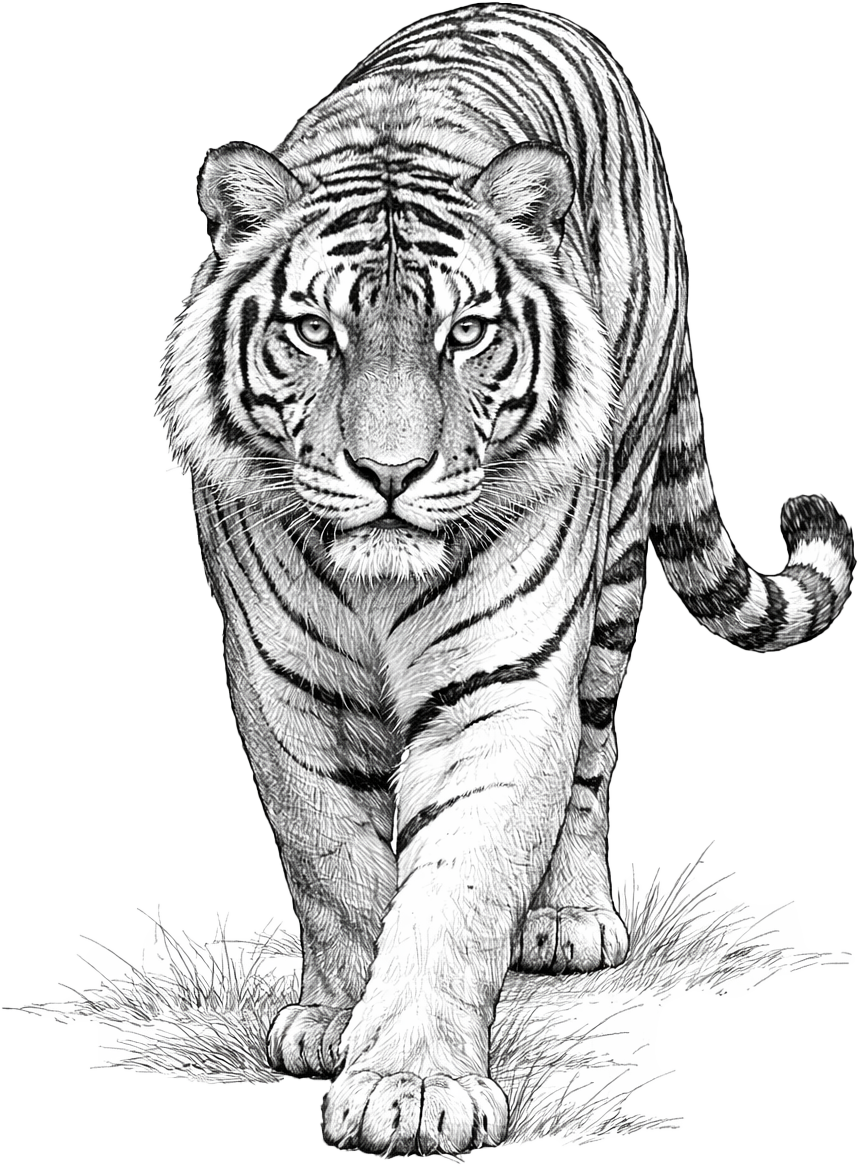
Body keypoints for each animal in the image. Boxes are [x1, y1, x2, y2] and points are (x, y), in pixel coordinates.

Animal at [158, 2, 854, 1155]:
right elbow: (332, 857)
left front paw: (410, 1087)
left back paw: (569, 919)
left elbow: (458, 884)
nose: (390, 471)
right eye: (316, 331)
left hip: (615, 571)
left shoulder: (507, 679)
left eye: (466, 332)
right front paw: (337, 1022)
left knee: (595, 755)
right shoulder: (280, 678)